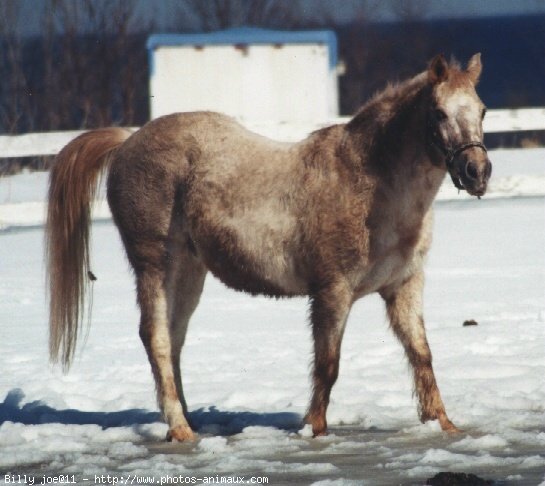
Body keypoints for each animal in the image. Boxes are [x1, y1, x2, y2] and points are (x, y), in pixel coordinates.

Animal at [45, 53, 488, 440]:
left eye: (482, 111)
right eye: (439, 113)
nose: (477, 172)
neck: (368, 182)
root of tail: (128, 140)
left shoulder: (403, 287)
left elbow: (421, 355)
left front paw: (444, 425)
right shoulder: (332, 292)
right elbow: (328, 364)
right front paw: (315, 429)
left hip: (188, 271)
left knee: (173, 339)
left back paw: (186, 420)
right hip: (154, 266)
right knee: (155, 337)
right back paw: (180, 429)